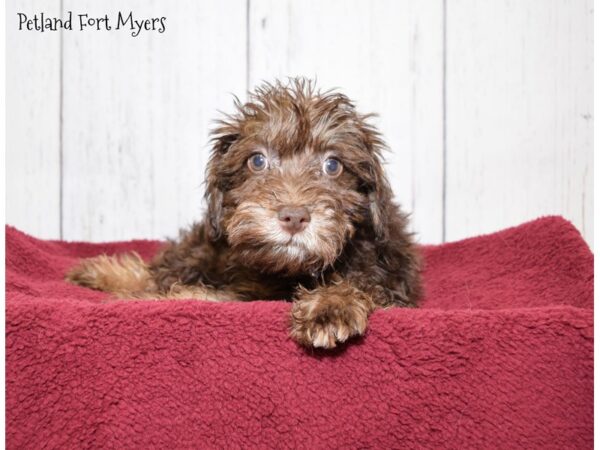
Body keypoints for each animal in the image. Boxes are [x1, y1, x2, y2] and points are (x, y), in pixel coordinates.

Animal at [67, 79, 422, 350]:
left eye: (333, 165)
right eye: (258, 161)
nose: (294, 216)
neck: (287, 271)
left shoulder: (389, 275)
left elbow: (362, 284)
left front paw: (330, 305)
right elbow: (192, 294)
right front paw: (138, 298)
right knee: (165, 270)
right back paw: (102, 273)